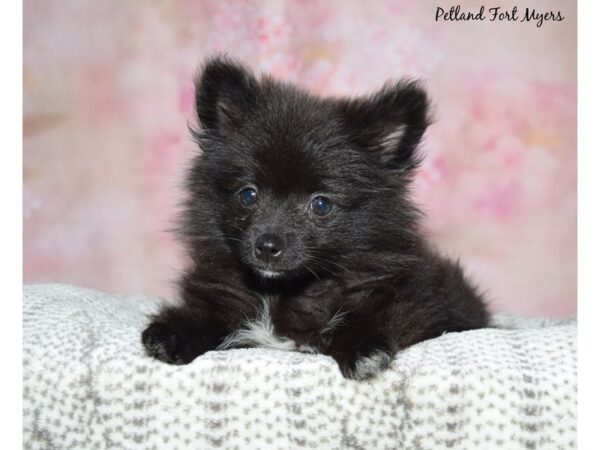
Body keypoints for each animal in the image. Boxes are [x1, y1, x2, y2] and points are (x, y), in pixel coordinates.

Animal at [143, 55, 490, 380]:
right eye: (248, 195)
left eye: (321, 205)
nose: (266, 246)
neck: (281, 292)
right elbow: (207, 312)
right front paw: (175, 332)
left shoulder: (419, 301)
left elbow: (378, 314)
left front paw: (362, 347)